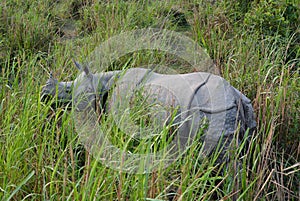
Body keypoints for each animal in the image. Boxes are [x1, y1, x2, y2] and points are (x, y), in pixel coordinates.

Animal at [42, 60, 256, 162]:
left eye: (68, 91)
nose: (44, 94)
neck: (103, 82)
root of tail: (235, 97)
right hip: (244, 107)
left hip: (218, 108)